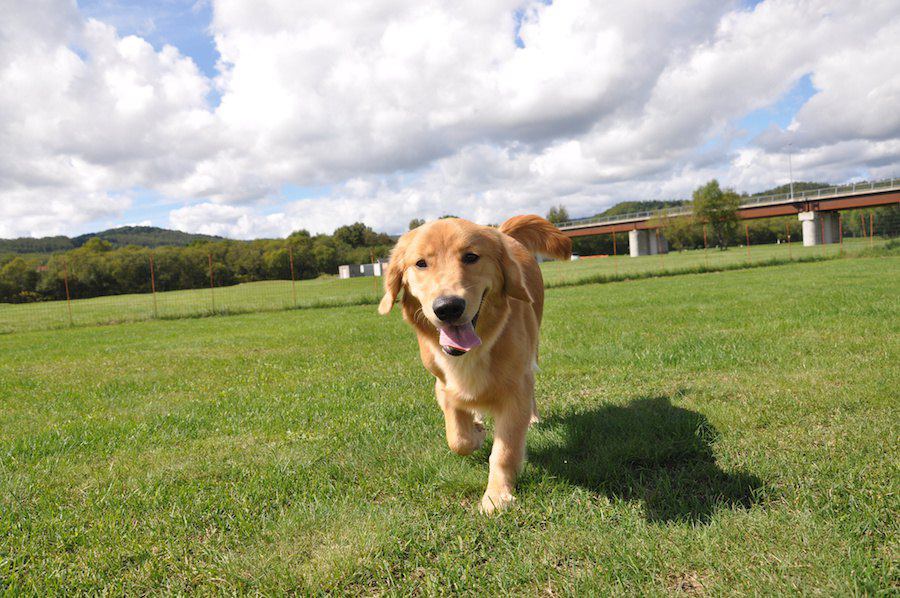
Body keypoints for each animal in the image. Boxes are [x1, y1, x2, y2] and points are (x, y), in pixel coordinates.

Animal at [378, 217, 568, 516]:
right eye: (421, 263)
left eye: (471, 257)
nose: (448, 307)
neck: (473, 351)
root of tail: (501, 232)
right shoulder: (443, 386)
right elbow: (458, 438)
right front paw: (476, 432)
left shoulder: (517, 389)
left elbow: (504, 451)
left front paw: (497, 496)